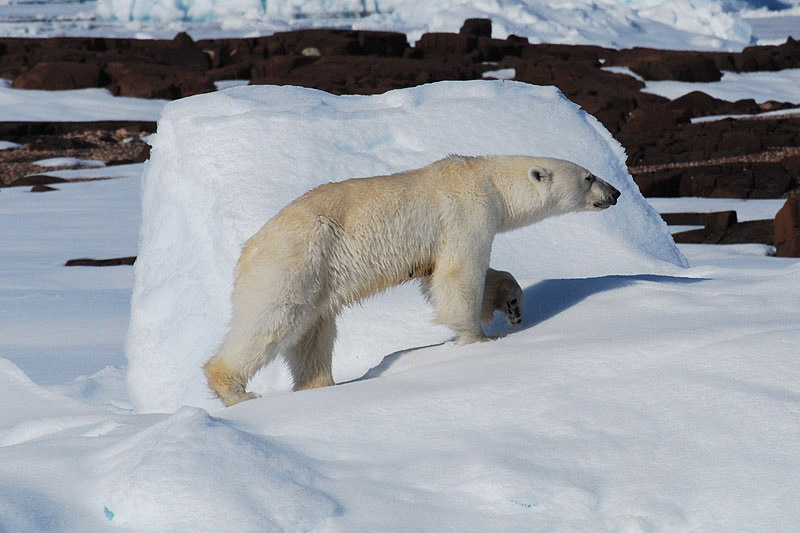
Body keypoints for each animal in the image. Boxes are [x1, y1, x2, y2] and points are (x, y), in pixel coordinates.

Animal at [204, 155, 620, 406]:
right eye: (588, 176)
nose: (615, 192)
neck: (486, 177)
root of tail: (249, 250)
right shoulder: (466, 213)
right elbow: (458, 275)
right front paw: (479, 340)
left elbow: (461, 275)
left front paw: (514, 305)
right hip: (295, 262)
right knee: (272, 321)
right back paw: (236, 391)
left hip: (317, 277)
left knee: (312, 335)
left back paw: (319, 386)